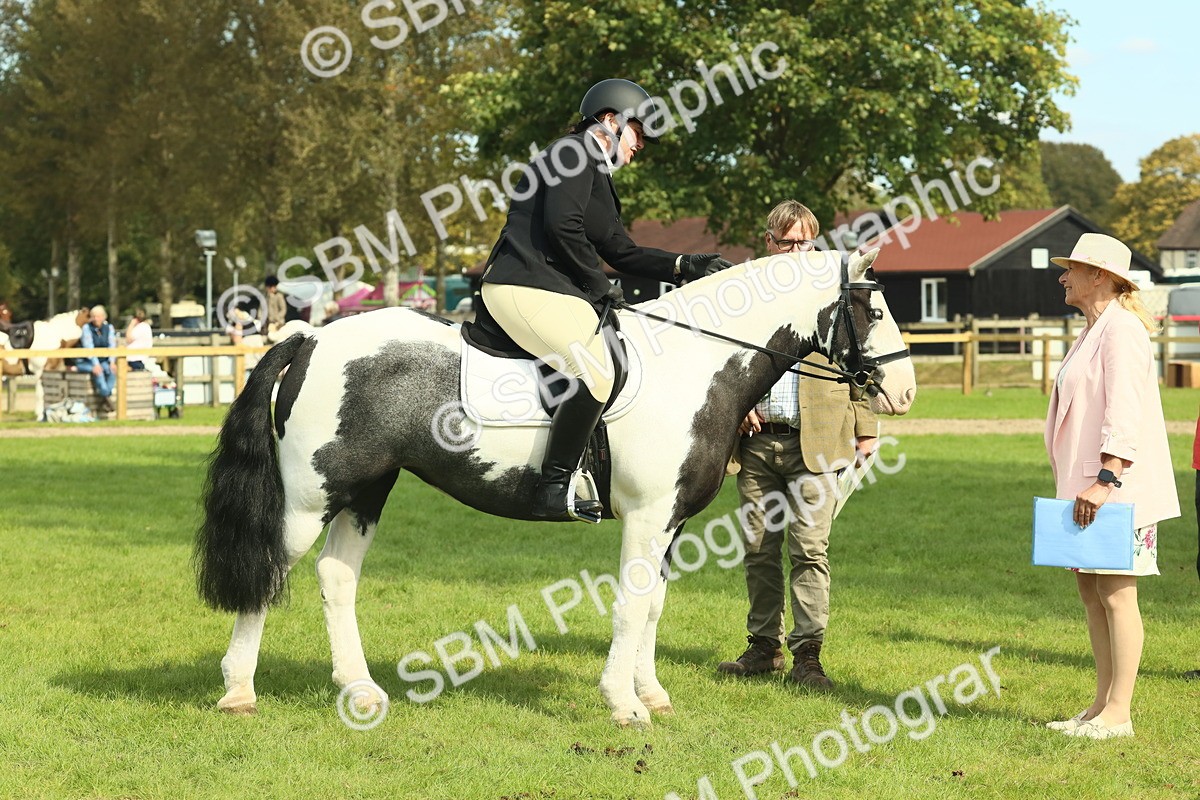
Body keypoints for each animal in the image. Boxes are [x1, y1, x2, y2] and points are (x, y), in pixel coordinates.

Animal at [195, 249, 917, 727]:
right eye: (874, 307)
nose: (905, 392)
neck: (697, 363)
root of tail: (310, 336)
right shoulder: (648, 517)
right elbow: (630, 607)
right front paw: (624, 705)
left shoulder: (672, 521)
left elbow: (653, 608)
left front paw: (651, 693)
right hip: (310, 495)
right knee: (269, 572)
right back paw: (238, 691)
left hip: (366, 489)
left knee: (336, 577)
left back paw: (361, 691)